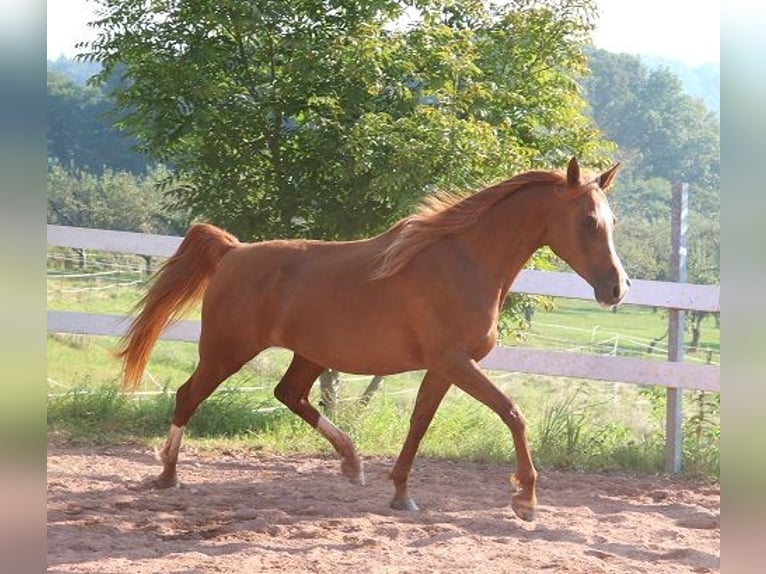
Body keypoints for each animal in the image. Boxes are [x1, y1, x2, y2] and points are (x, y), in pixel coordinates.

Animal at [115, 156, 632, 520]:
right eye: (588, 222)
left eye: (612, 223)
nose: (617, 288)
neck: (466, 263)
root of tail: (233, 250)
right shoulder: (456, 362)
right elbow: (513, 413)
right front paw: (525, 500)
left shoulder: (444, 367)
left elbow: (420, 422)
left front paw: (401, 493)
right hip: (227, 350)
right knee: (188, 395)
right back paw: (168, 475)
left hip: (308, 353)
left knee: (290, 394)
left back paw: (352, 463)